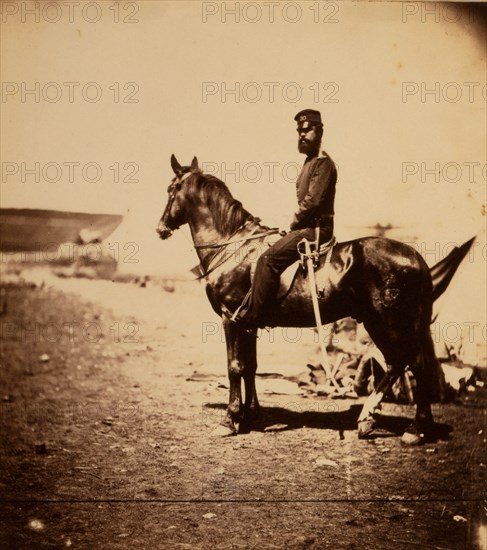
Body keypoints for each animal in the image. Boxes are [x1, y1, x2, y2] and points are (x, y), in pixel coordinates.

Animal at [159, 154, 466, 444]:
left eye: (171, 189)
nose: (160, 228)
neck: (234, 248)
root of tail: (416, 257)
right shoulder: (249, 324)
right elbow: (251, 367)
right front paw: (251, 414)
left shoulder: (230, 319)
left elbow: (235, 367)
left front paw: (230, 420)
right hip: (376, 322)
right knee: (396, 363)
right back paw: (368, 419)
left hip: (392, 322)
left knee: (416, 364)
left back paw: (416, 429)